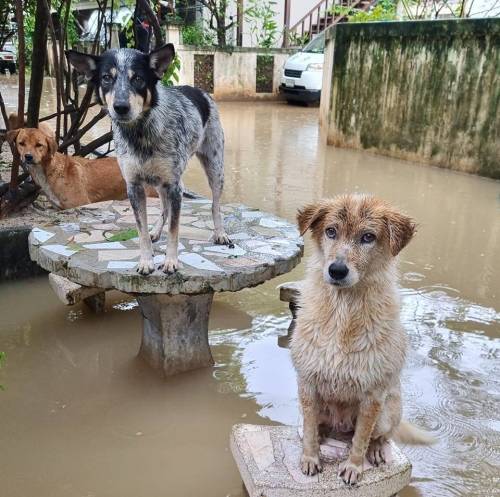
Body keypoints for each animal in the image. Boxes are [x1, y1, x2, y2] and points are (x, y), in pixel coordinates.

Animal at [66, 44, 230, 274]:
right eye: (106, 78)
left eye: (138, 78)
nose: (121, 107)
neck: (141, 132)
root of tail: (200, 91)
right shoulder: (134, 186)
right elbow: (141, 229)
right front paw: (146, 260)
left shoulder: (174, 186)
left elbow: (174, 230)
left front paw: (171, 261)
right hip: (160, 184)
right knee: (164, 209)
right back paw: (156, 230)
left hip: (214, 169)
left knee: (215, 205)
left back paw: (220, 232)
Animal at [292, 194, 432, 484]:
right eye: (330, 231)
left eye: (368, 237)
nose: (337, 270)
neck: (343, 316)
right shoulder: (307, 384)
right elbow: (310, 430)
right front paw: (310, 458)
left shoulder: (373, 395)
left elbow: (361, 438)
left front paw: (354, 467)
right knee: (318, 426)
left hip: (389, 411)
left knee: (381, 436)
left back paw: (376, 450)